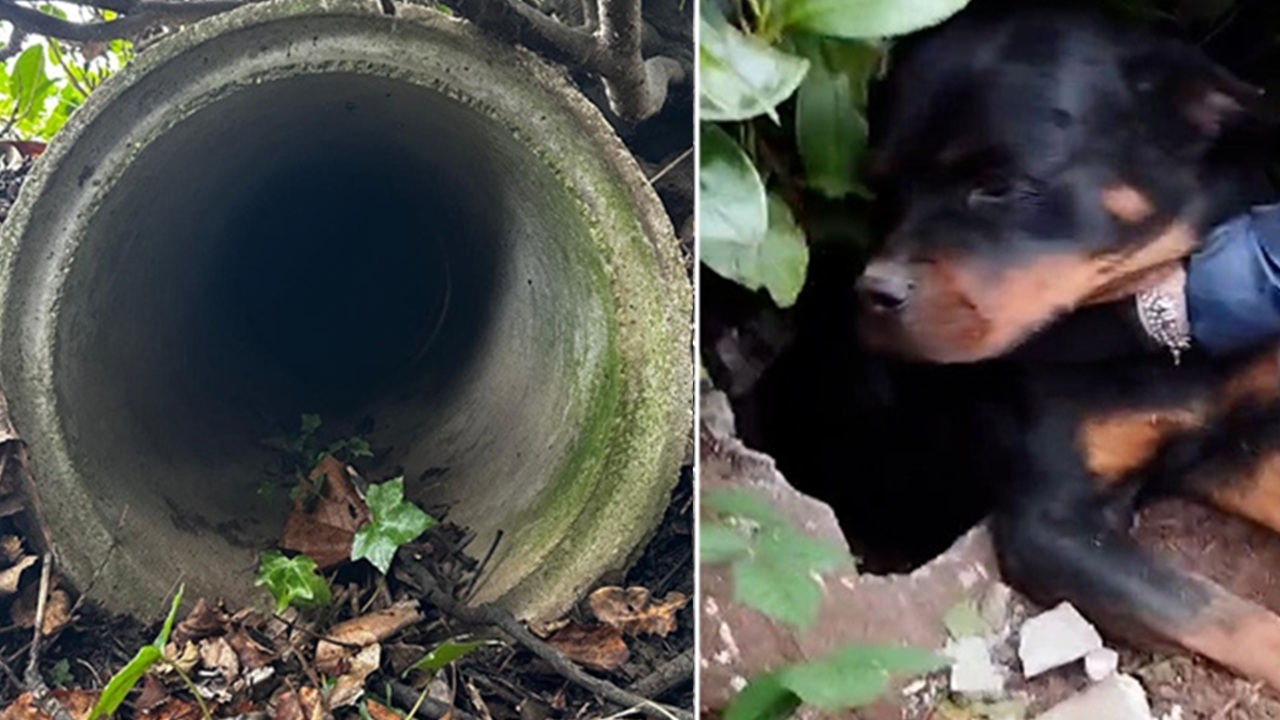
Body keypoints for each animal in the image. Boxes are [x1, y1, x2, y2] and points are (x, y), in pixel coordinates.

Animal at [849, 1, 1280, 691]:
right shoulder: (1050, 528)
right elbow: (1216, 610)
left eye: (999, 185)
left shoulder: (1241, 437)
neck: (1158, 334)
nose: (874, 294)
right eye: (882, 188)